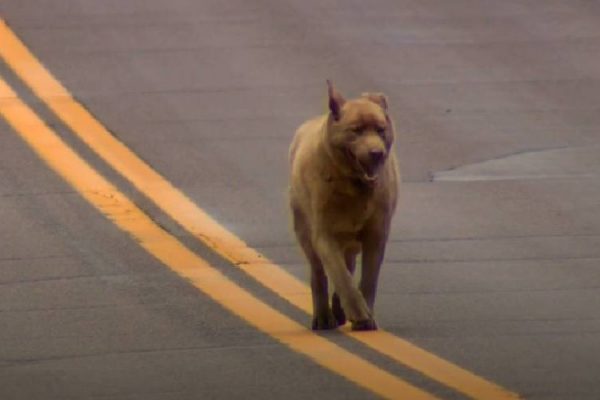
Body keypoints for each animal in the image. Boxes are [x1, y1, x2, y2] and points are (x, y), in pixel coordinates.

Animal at [290, 79, 398, 330]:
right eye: (355, 130)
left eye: (380, 129)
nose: (376, 153)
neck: (353, 185)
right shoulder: (324, 234)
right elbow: (340, 275)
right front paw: (358, 313)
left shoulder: (376, 234)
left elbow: (368, 278)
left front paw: (366, 315)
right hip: (304, 229)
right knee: (319, 273)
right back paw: (323, 317)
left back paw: (338, 310)